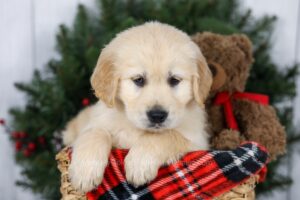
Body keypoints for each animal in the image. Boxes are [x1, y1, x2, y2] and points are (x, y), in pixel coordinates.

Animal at [62, 21, 213, 192]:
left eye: (174, 80)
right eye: (139, 80)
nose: (157, 115)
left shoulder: (197, 141)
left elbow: (165, 136)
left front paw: (139, 163)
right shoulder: (98, 121)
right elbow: (95, 133)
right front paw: (85, 172)